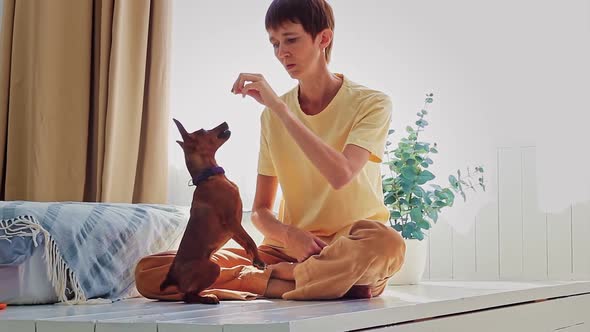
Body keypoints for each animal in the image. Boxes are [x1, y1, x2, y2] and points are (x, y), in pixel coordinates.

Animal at [160, 118, 266, 304]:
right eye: (203, 130)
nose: (225, 122)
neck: (209, 177)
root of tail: (172, 276)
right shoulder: (232, 221)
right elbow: (251, 240)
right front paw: (259, 261)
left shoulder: (234, 229)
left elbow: (246, 242)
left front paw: (254, 258)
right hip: (213, 268)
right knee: (187, 296)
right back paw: (208, 298)